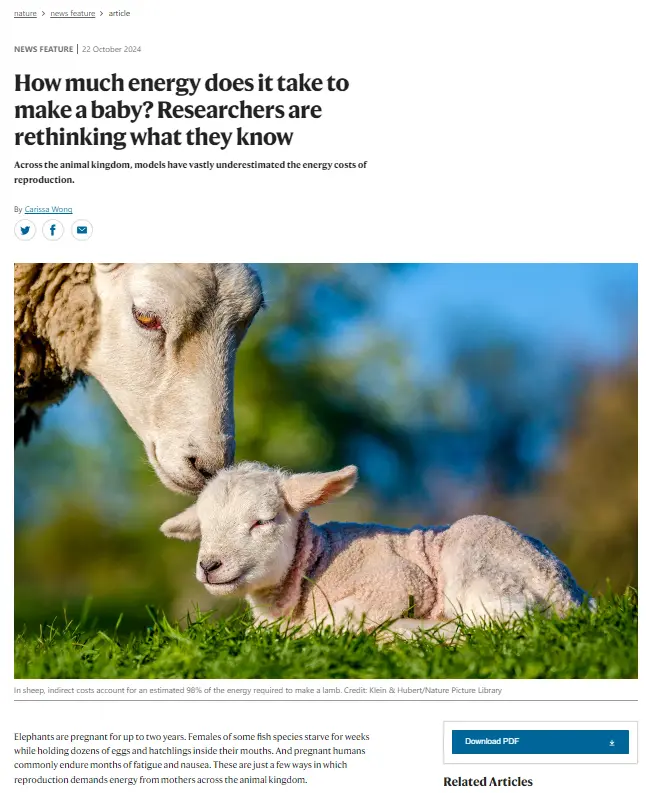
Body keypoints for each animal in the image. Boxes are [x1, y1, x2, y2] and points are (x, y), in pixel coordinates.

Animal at [160, 462, 594, 638]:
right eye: (203, 528)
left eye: (261, 522)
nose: (209, 565)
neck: (316, 561)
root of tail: (569, 594)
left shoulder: (399, 580)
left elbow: (333, 619)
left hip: (476, 557)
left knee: (504, 619)